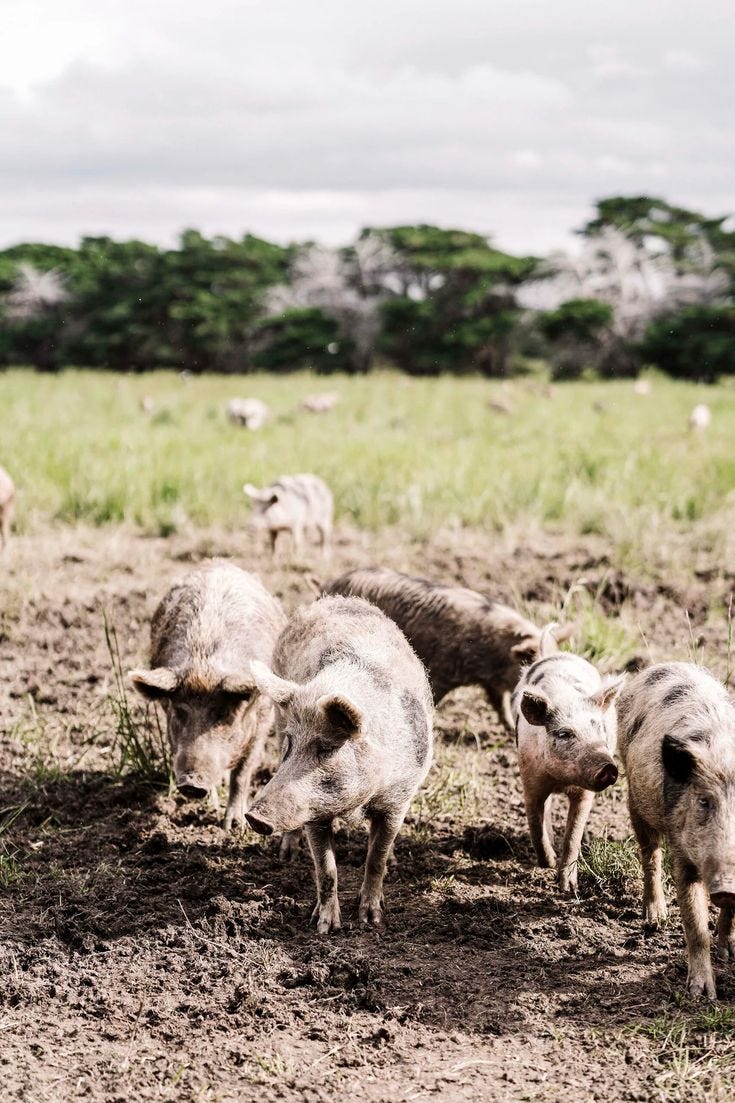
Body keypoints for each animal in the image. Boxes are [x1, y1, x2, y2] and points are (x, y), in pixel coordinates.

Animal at [129, 560, 286, 830]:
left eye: (223, 714)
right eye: (179, 712)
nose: (191, 784)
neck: (204, 666)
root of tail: (219, 562)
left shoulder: (262, 721)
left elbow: (243, 772)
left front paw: (233, 827)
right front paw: (213, 805)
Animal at [246, 595, 433, 934]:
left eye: (326, 748)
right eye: (291, 743)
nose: (254, 817)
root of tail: (330, 601)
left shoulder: (398, 799)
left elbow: (376, 858)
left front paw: (372, 920)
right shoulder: (312, 809)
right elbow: (326, 868)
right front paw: (324, 927)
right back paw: (287, 855)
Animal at [511, 627, 625, 891]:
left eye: (599, 728)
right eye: (564, 734)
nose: (607, 767)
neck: (561, 780)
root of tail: (556, 653)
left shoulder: (585, 795)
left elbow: (573, 835)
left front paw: (568, 888)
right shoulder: (530, 780)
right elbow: (535, 826)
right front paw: (547, 863)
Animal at [618, 662, 735, 999]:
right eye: (704, 802)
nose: (727, 886)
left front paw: (727, 955)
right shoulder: (683, 851)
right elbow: (695, 925)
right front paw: (701, 995)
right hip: (635, 798)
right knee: (650, 854)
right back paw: (655, 920)